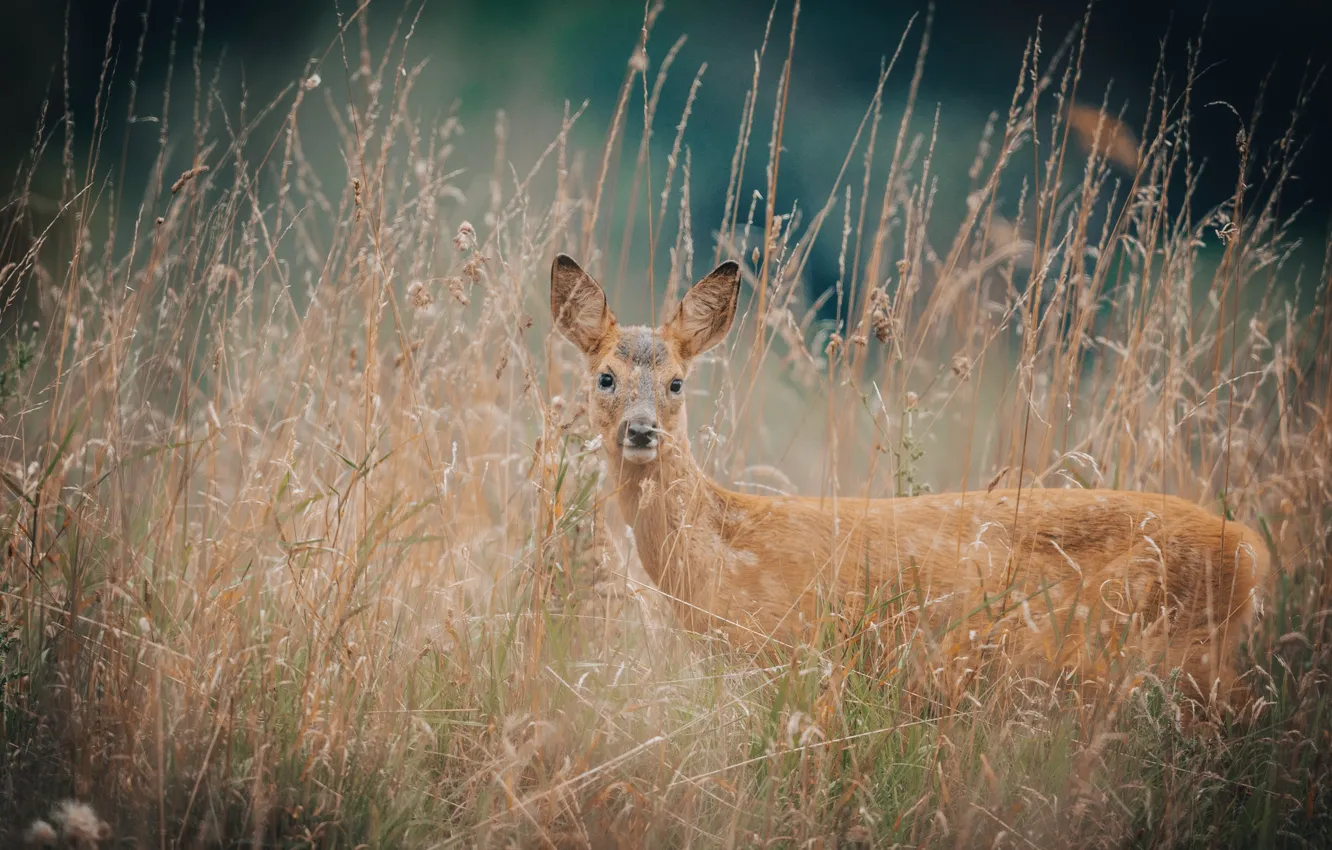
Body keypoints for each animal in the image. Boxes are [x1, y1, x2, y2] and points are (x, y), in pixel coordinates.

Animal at [549, 253, 1271, 707]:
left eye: (677, 382)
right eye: (605, 377)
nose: (642, 431)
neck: (725, 548)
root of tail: (1252, 549)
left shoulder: (805, 658)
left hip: (1179, 652)